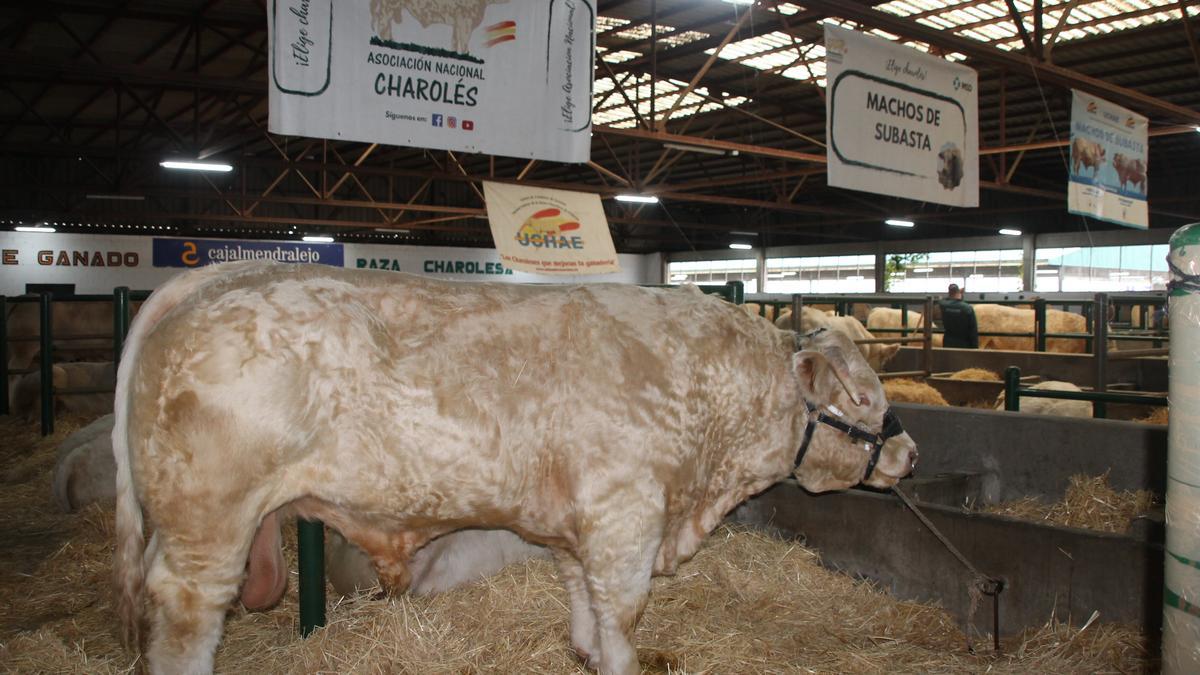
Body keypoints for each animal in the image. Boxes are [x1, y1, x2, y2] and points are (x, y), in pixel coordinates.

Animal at [114, 258, 916, 672]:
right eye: (864, 395)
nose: (909, 452)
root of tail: (222, 274)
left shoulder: (578, 525)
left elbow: (582, 597)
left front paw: (585, 652)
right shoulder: (626, 517)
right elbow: (622, 612)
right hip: (209, 520)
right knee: (186, 616)